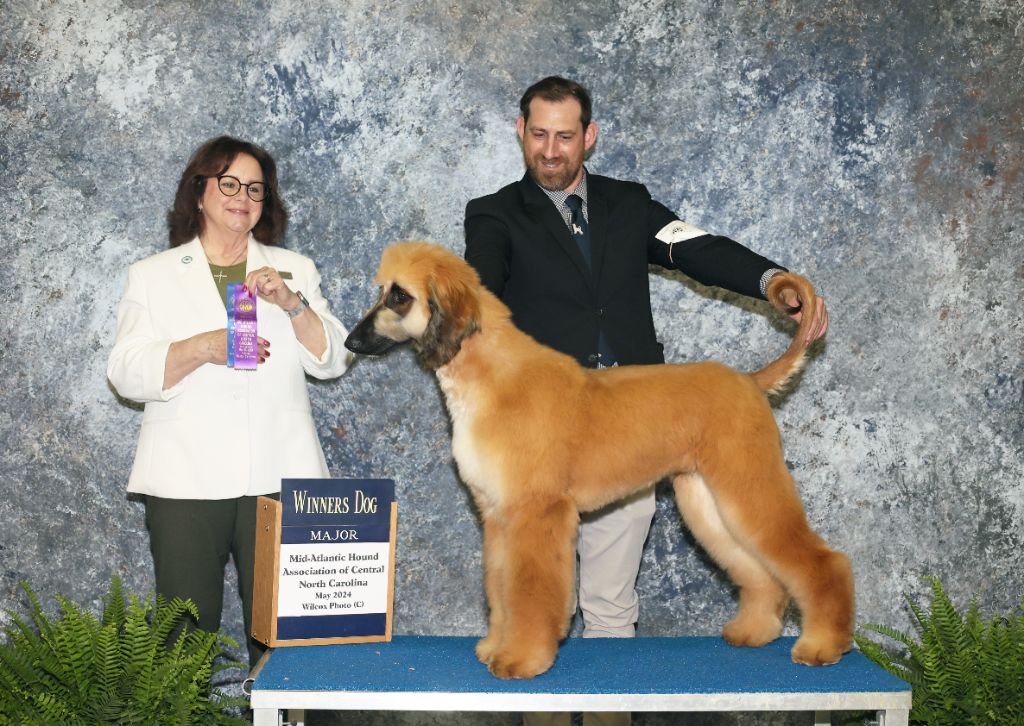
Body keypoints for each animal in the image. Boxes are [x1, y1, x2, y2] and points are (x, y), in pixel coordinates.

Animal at [348, 243, 851, 679]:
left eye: (399, 295)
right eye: (382, 289)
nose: (352, 341)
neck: (491, 381)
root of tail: (748, 382)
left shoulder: (536, 511)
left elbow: (530, 589)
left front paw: (521, 658)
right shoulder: (496, 515)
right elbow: (500, 586)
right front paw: (495, 646)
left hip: (750, 483)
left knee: (822, 562)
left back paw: (823, 644)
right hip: (708, 500)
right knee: (758, 570)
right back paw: (755, 631)